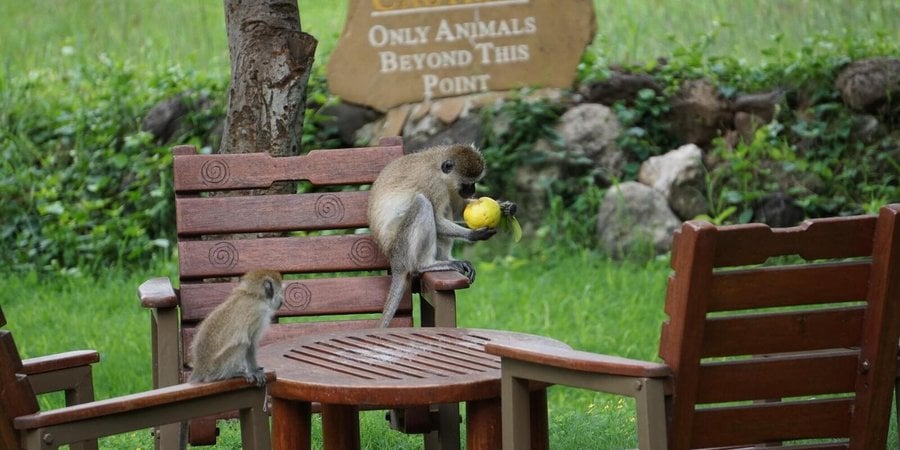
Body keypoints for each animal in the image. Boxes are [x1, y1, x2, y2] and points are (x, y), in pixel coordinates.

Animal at [367, 144, 515, 328]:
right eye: (467, 184)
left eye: (474, 183)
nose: (472, 191)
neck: (439, 170)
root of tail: (394, 261)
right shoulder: (434, 185)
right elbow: (437, 220)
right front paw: (474, 234)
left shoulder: (451, 189)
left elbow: (459, 208)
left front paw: (505, 208)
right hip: (402, 247)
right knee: (423, 204)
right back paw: (427, 264)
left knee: (448, 207)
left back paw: (446, 258)